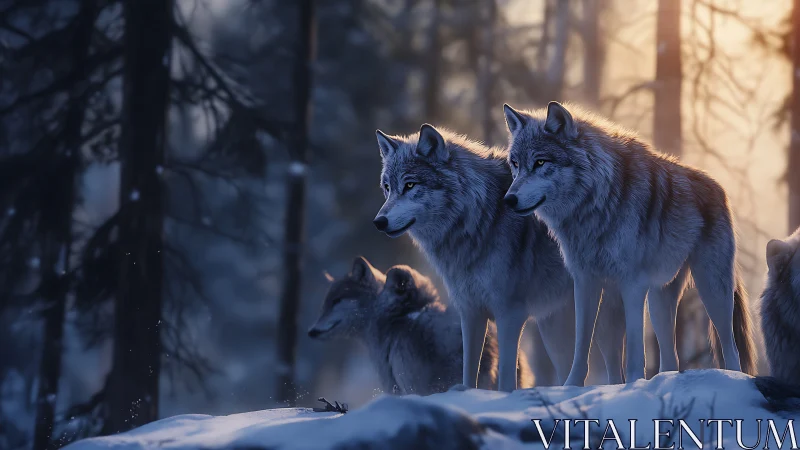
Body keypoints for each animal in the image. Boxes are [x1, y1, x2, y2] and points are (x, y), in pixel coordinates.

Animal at [373, 125, 626, 391]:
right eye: (387, 187)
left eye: (410, 185)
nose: (379, 222)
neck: (480, 219)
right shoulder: (470, 312)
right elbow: (468, 373)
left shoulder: (510, 314)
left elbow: (506, 378)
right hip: (553, 328)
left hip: (597, 318)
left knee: (615, 371)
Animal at [501, 101, 756, 385]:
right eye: (515, 163)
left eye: (540, 162)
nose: (509, 199)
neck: (595, 204)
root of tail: (719, 187)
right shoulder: (585, 281)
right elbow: (582, 345)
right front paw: (572, 386)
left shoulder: (633, 284)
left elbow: (635, 349)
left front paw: (634, 382)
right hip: (659, 301)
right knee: (671, 357)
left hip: (712, 291)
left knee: (730, 346)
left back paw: (734, 377)